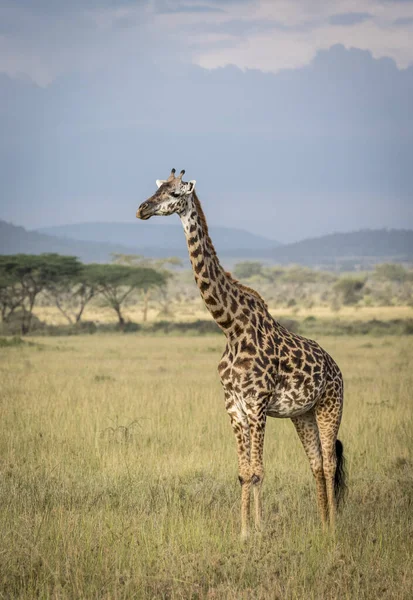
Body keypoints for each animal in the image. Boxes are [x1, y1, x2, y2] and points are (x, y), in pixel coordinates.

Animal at [135, 168, 344, 540]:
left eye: (174, 193)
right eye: (157, 188)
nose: (142, 208)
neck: (230, 326)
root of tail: (337, 370)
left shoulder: (257, 403)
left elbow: (258, 471)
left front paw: (256, 531)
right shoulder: (233, 405)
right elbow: (244, 473)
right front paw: (245, 531)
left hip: (330, 405)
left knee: (331, 462)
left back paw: (333, 528)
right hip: (302, 414)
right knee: (317, 463)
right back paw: (321, 524)